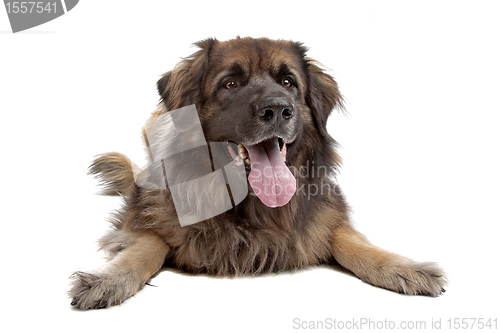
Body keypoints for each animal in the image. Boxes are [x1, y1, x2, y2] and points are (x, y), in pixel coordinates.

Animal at [69, 37, 446, 308]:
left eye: (288, 82)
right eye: (230, 84)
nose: (278, 109)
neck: (249, 205)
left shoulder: (322, 217)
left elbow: (352, 242)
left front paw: (404, 267)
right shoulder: (148, 220)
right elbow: (145, 249)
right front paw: (108, 279)